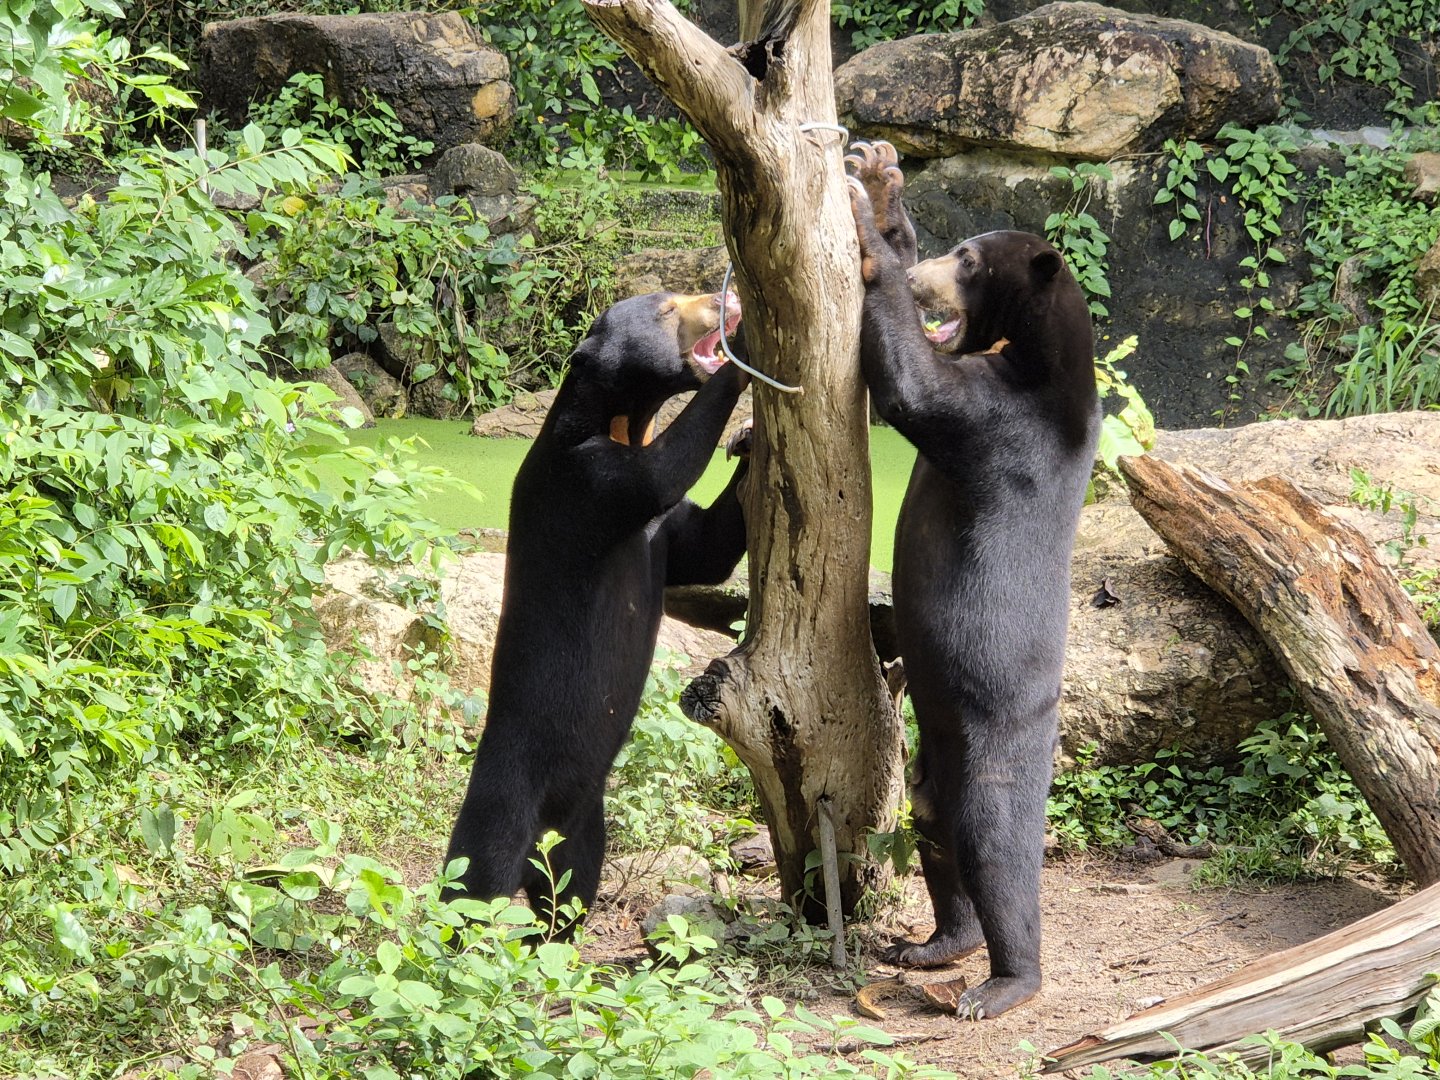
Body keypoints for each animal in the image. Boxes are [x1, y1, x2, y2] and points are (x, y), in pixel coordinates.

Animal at [443, 289, 751, 930]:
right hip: (503, 802)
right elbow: (661, 472)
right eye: (667, 308)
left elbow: (705, 550)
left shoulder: (664, 528)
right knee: (471, 888)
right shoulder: (587, 482)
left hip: (586, 829)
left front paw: (748, 439)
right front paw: (744, 355)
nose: (724, 297)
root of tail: (543, 830)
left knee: (569, 896)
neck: (622, 422)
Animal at [845, 140, 1101, 1019]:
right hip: (934, 761)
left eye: (966, 261)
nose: (928, 278)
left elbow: (914, 390)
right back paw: (931, 946)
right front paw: (880, 180)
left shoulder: (1004, 423)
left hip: (1000, 741)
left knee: (998, 850)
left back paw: (1001, 984)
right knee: (935, 831)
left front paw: (875, 249)